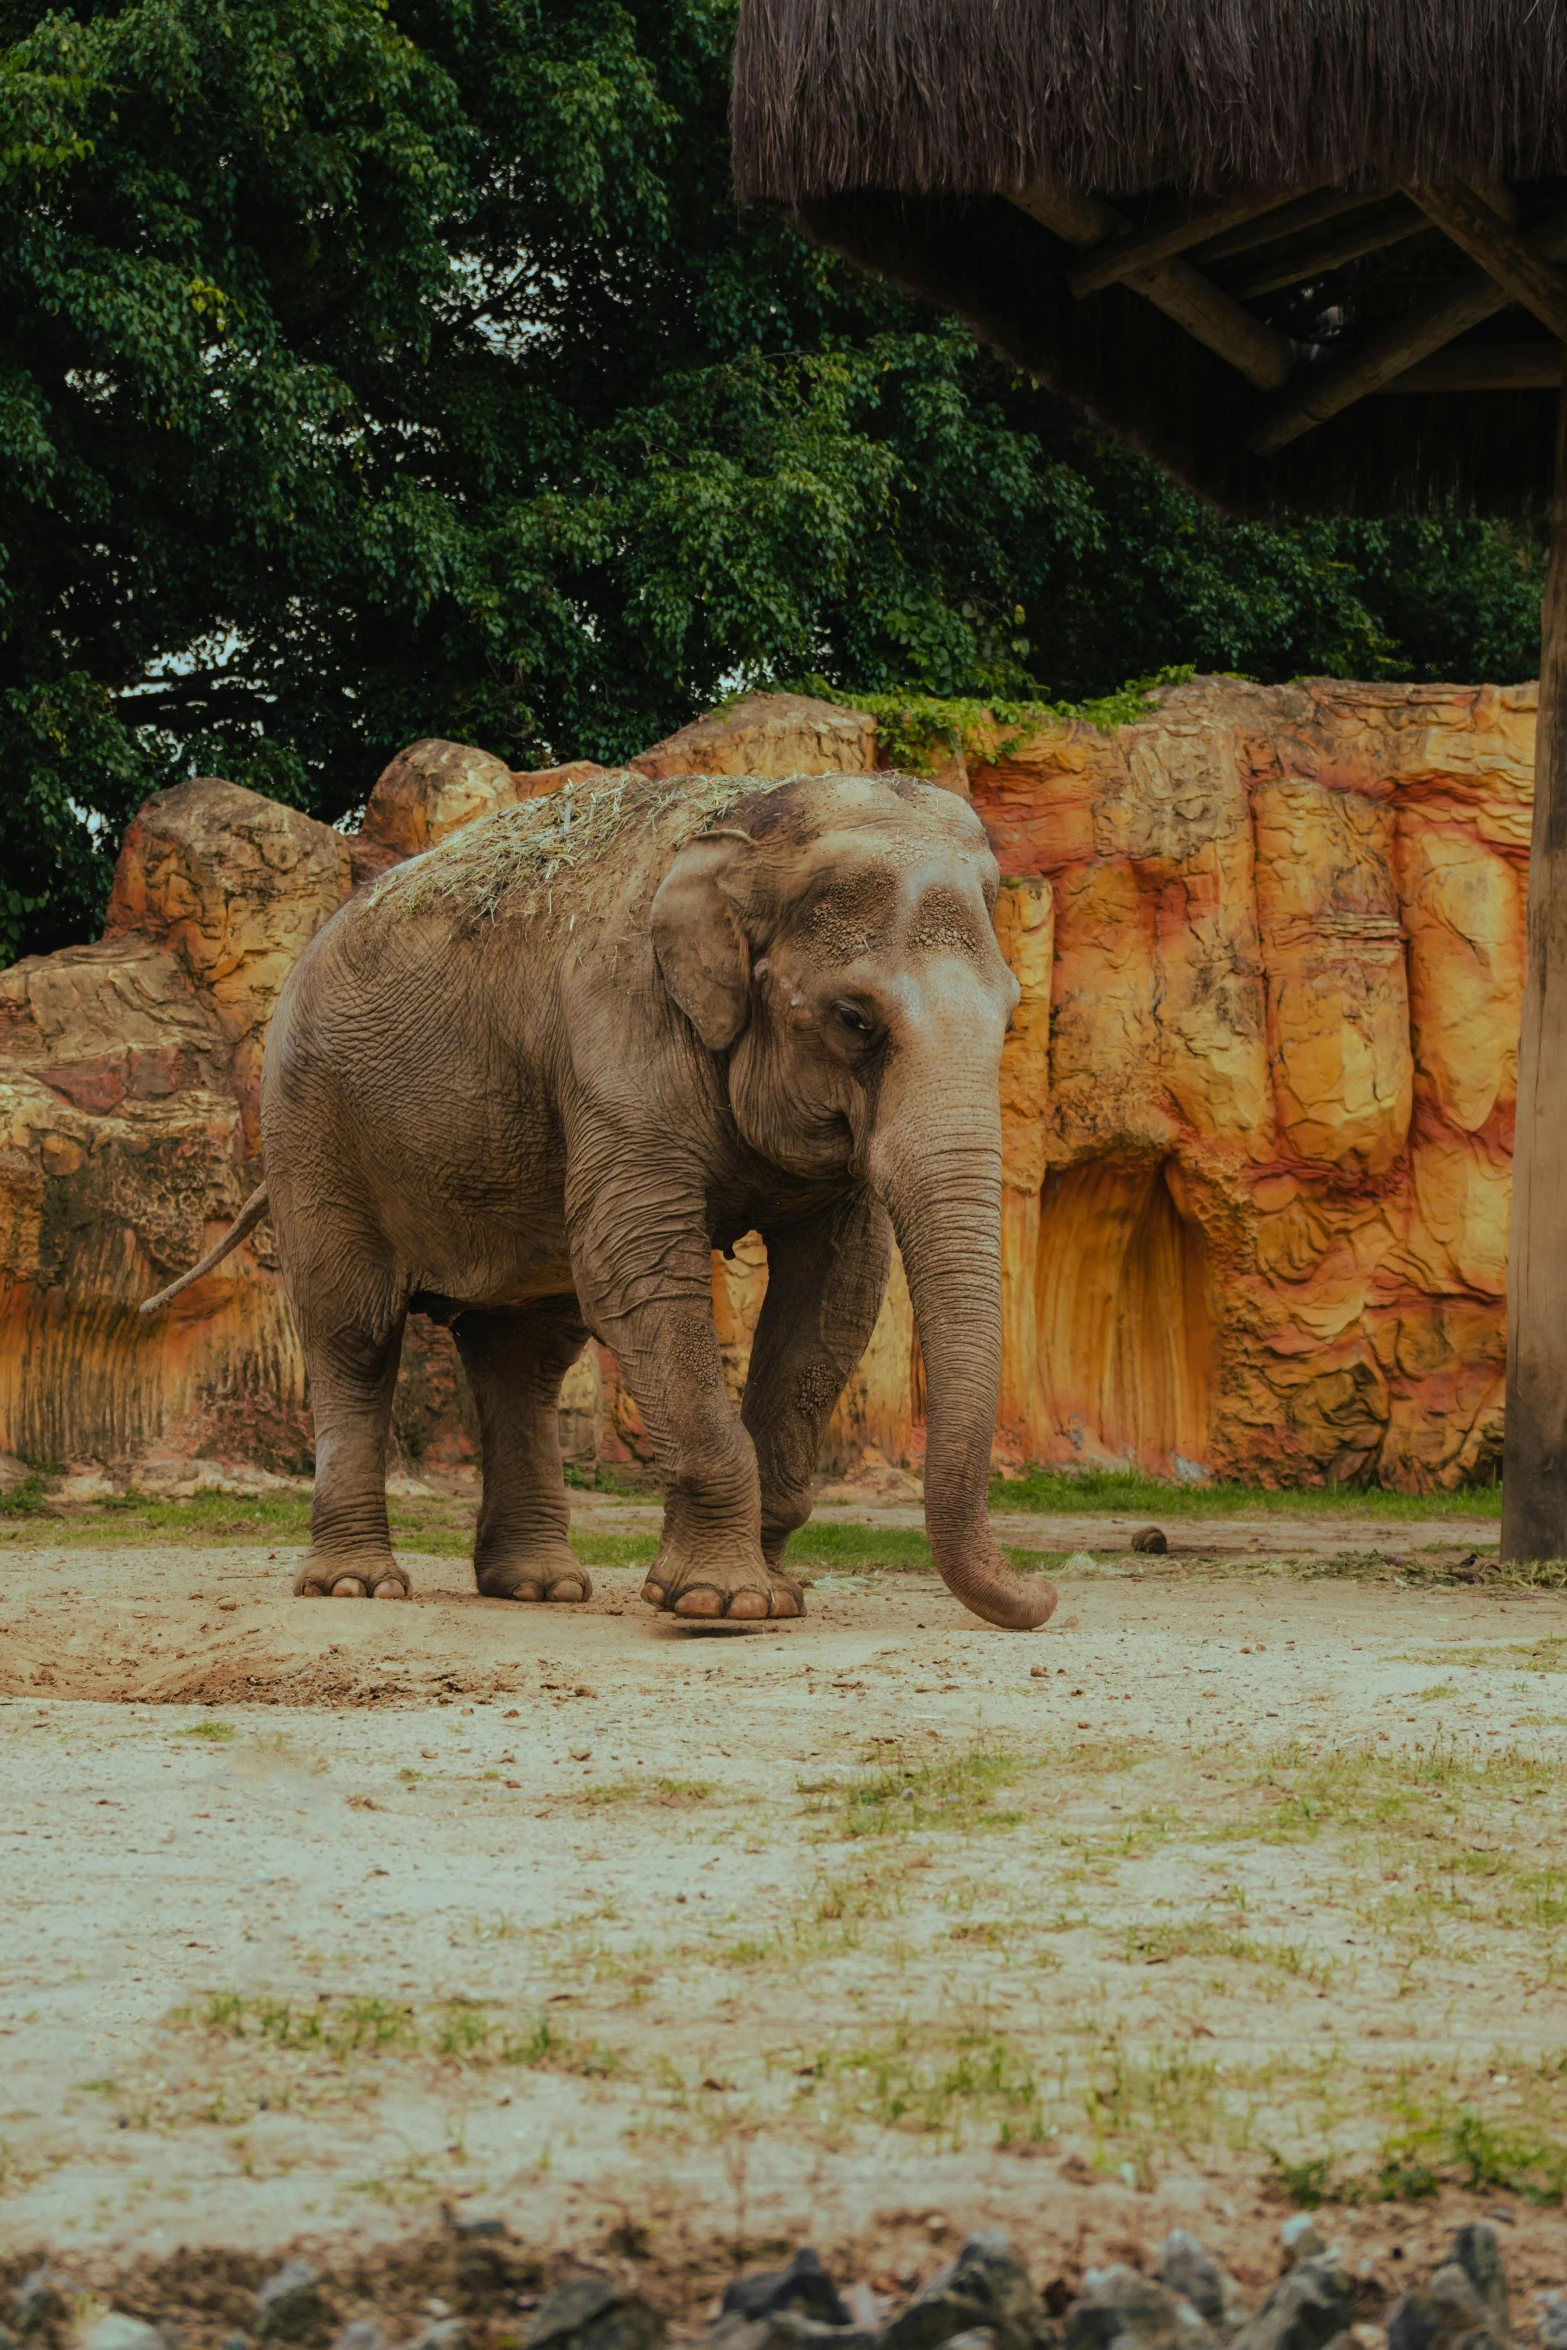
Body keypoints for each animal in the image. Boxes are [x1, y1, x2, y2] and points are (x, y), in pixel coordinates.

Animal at [150, 770, 1052, 1635]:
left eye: (1012, 1015)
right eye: (853, 1018)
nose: (1039, 1599)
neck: (753, 820)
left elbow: (835, 1293)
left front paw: (773, 1598)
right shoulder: (619, 1031)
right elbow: (636, 1263)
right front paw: (721, 1605)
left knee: (525, 1351)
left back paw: (538, 1588)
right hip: (312, 1127)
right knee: (354, 1329)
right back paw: (356, 1586)